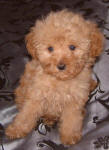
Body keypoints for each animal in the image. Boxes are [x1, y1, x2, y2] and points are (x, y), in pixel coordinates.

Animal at [5, 9, 104, 145]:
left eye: (72, 47)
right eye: (50, 48)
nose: (61, 66)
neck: (59, 80)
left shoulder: (74, 100)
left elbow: (71, 119)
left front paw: (70, 135)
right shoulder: (36, 95)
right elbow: (26, 114)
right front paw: (16, 129)